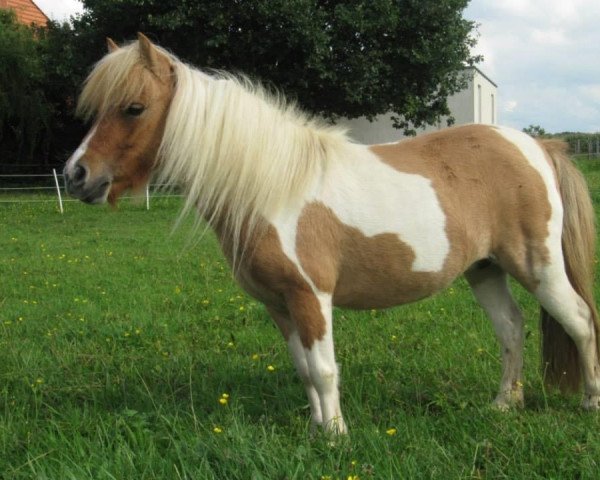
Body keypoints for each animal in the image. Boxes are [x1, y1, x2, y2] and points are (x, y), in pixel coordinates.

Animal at [63, 31, 596, 434]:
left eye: (134, 107)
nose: (76, 175)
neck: (272, 185)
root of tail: (538, 147)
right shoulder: (278, 304)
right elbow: (303, 369)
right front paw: (318, 430)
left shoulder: (310, 295)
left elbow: (322, 369)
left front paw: (337, 437)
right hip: (484, 269)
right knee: (511, 328)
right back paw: (505, 404)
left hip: (539, 267)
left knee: (579, 320)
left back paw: (588, 404)